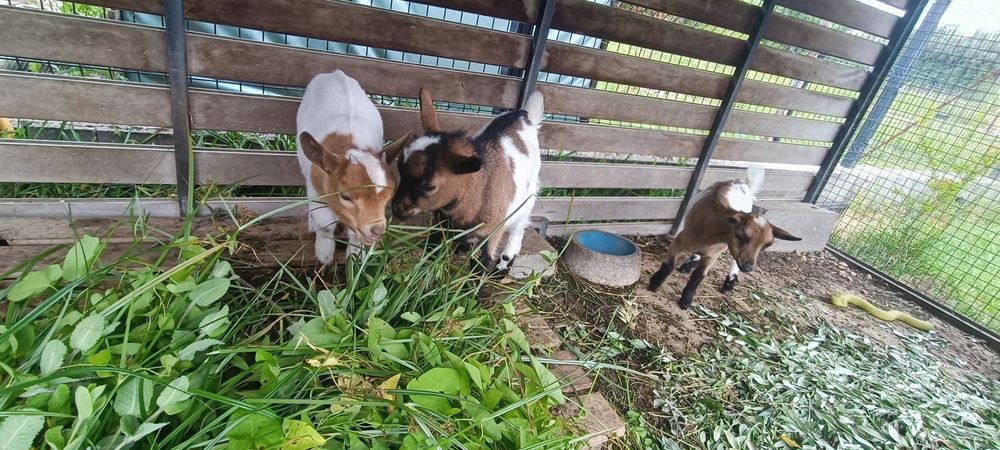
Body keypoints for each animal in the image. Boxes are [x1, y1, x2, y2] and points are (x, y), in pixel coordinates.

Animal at [296, 71, 412, 263]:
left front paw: (355, 258)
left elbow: (355, 236)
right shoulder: (316, 190)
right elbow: (324, 224)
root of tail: (335, 73)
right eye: (345, 197)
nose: (377, 230)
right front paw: (324, 258)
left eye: (389, 198)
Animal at [391, 89, 544, 272]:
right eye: (400, 169)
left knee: (519, 225)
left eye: (429, 186)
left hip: (528, 195)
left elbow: (483, 264)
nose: (395, 208)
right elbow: (431, 251)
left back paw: (504, 262)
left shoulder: (493, 230)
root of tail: (524, 115)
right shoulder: (440, 224)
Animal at [648, 166, 801, 309]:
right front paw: (654, 284)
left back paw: (729, 282)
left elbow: (699, 276)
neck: (709, 231)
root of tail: (742, 182)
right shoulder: (680, 240)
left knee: (733, 260)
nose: (748, 267)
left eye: (767, 245)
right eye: (740, 236)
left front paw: (686, 301)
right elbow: (668, 266)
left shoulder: (714, 253)